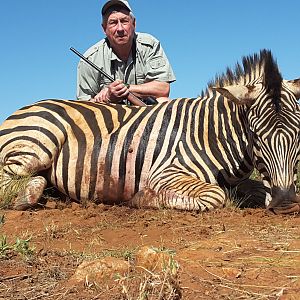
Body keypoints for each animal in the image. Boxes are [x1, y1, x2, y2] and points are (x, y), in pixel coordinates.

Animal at [0, 49, 298, 213]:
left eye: (298, 136)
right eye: (256, 136)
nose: (285, 203)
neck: (211, 133)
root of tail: (22, 108)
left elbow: (252, 189)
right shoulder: (167, 173)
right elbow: (216, 195)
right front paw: (142, 198)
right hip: (37, 146)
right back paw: (28, 196)